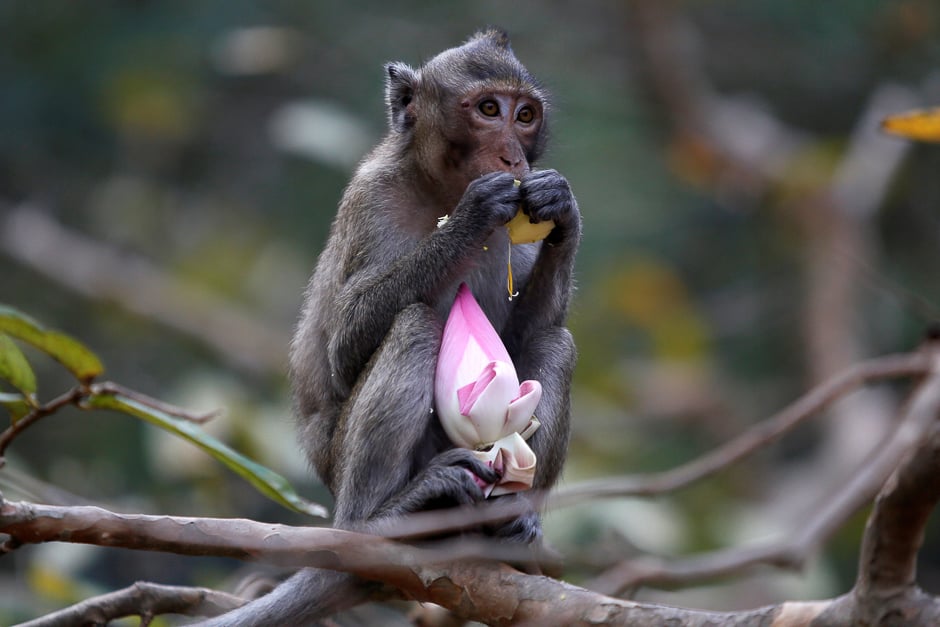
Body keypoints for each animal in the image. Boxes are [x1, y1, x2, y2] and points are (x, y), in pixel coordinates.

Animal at [196, 27, 580, 624]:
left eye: (525, 115)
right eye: (488, 110)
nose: (512, 155)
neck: (440, 188)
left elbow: (522, 338)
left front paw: (562, 208)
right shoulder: (371, 198)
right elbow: (345, 347)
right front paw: (470, 218)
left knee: (554, 342)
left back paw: (505, 525)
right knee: (414, 324)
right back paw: (386, 520)